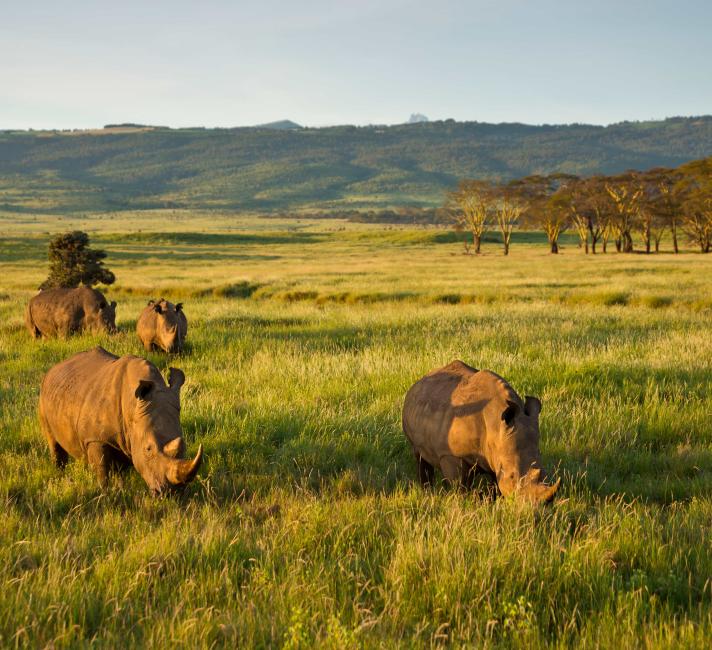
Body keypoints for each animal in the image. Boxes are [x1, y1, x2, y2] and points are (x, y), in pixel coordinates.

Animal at [39, 344, 203, 492]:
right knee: (53, 441)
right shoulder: (95, 438)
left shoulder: (128, 435)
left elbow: (119, 471)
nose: (174, 491)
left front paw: (120, 489)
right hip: (43, 395)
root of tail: (54, 368)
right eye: (148, 449)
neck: (133, 407)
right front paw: (105, 493)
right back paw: (59, 475)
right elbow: (102, 469)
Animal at [404, 360, 560, 502]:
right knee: (419, 456)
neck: (495, 427)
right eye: (512, 476)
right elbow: (458, 485)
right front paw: (462, 503)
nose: (534, 506)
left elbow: (495, 483)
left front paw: (492, 501)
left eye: (544, 473)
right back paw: (427, 492)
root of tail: (420, 380)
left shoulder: (496, 452)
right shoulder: (449, 454)